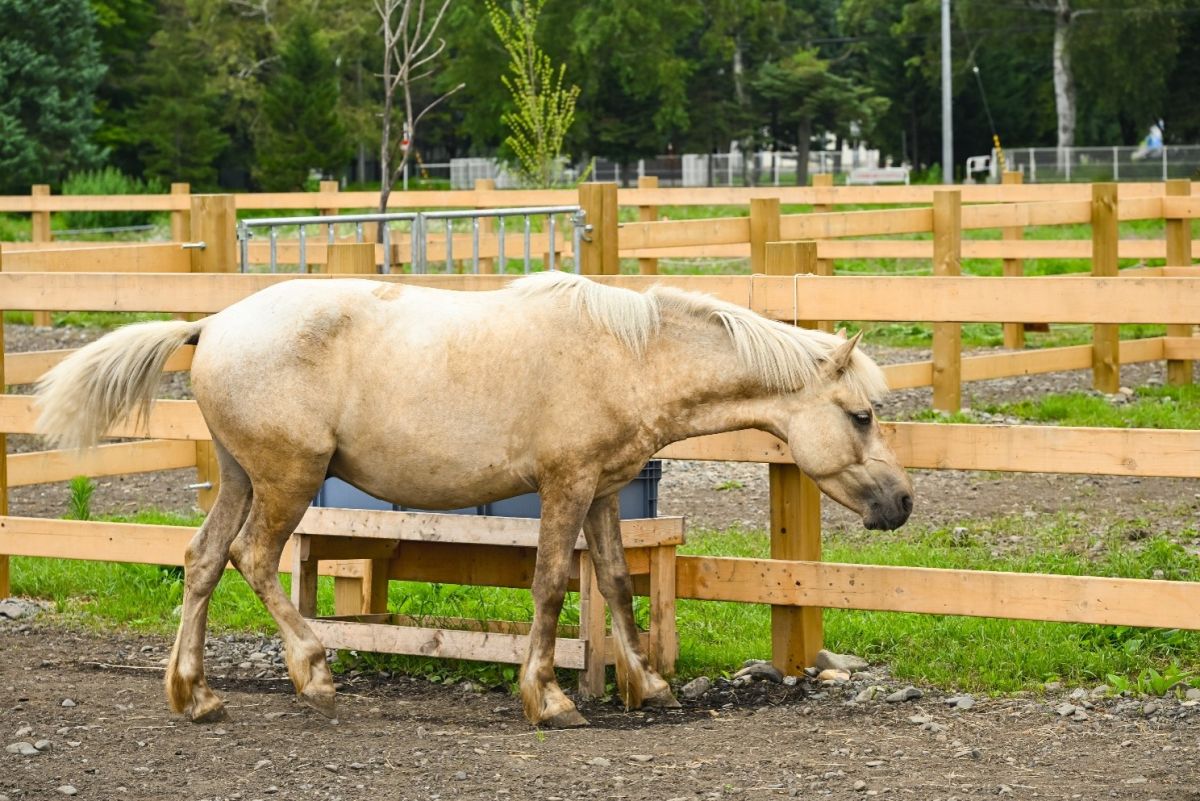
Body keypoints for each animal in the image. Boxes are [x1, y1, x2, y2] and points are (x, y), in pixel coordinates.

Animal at [34, 270, 913, 727]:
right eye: (862, 415)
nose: (902, 503)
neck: (627, 354)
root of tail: (212, 324)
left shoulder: (602, 490)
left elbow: (616, 584)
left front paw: (651, 684)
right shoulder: (565, 487)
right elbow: (553, 583)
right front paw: (547, 697)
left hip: (242, 477)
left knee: (203, 561)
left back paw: (198, 695)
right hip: (285, 480)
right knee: (252, 559)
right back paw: (312, 670)